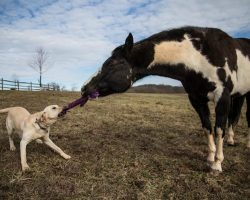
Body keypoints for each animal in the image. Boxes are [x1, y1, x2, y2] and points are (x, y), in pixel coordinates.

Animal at [81, 26, 250, 173]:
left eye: (113, 63)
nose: (84, 88)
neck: (200, 57)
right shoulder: (196, 99)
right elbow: (207, 126)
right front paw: (210, 157)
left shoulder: (222, 96)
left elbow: (219, 129)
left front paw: (217, 164)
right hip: (239, 95)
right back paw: (231, 140)